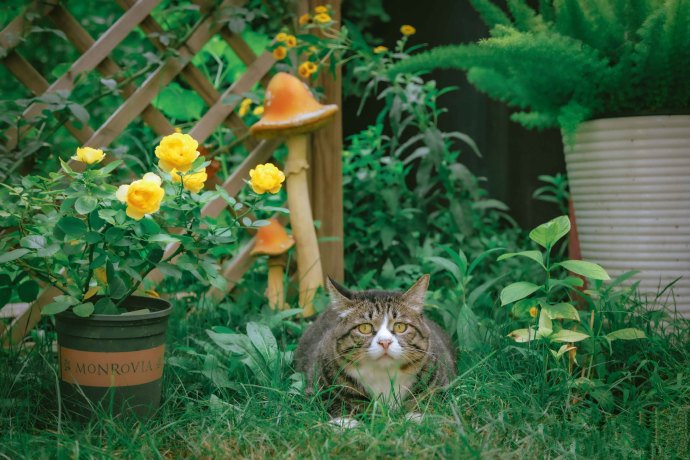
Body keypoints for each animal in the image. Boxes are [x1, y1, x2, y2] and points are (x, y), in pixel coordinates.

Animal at [292, 274, 454, 420]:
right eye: (364, 328)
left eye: (400, 326)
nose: (385, 342)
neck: (384, 375)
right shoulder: (317, 388)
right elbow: (332, 404)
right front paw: (346, 423)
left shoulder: (442, 386)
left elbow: (429, 402)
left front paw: (416, 418)